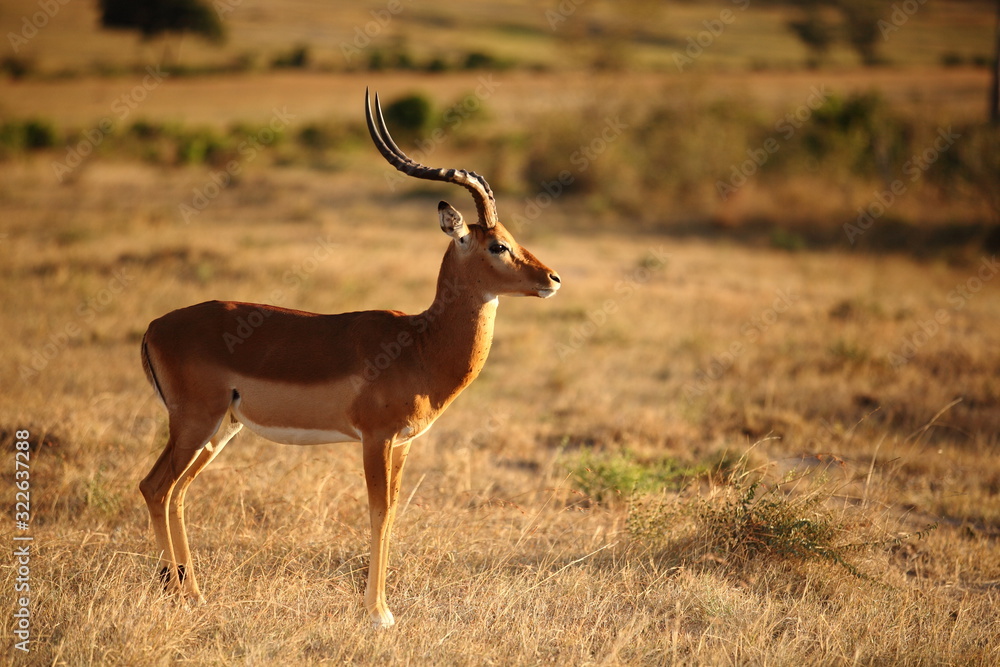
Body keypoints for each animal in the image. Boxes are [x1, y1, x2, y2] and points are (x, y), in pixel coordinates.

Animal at [138, 89, 561, 628]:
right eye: (497, 245)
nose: (552, 279)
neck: (420, 342)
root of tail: (154, 326)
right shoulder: (375, 438)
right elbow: (377, 513)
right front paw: (378, 614)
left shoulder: (403, 443)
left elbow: (394, 513)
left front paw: (381, 608)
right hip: (195, 422)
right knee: (155, 487)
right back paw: (179, 593)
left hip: (220, 430)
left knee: (177, 493)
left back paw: (193, 594)